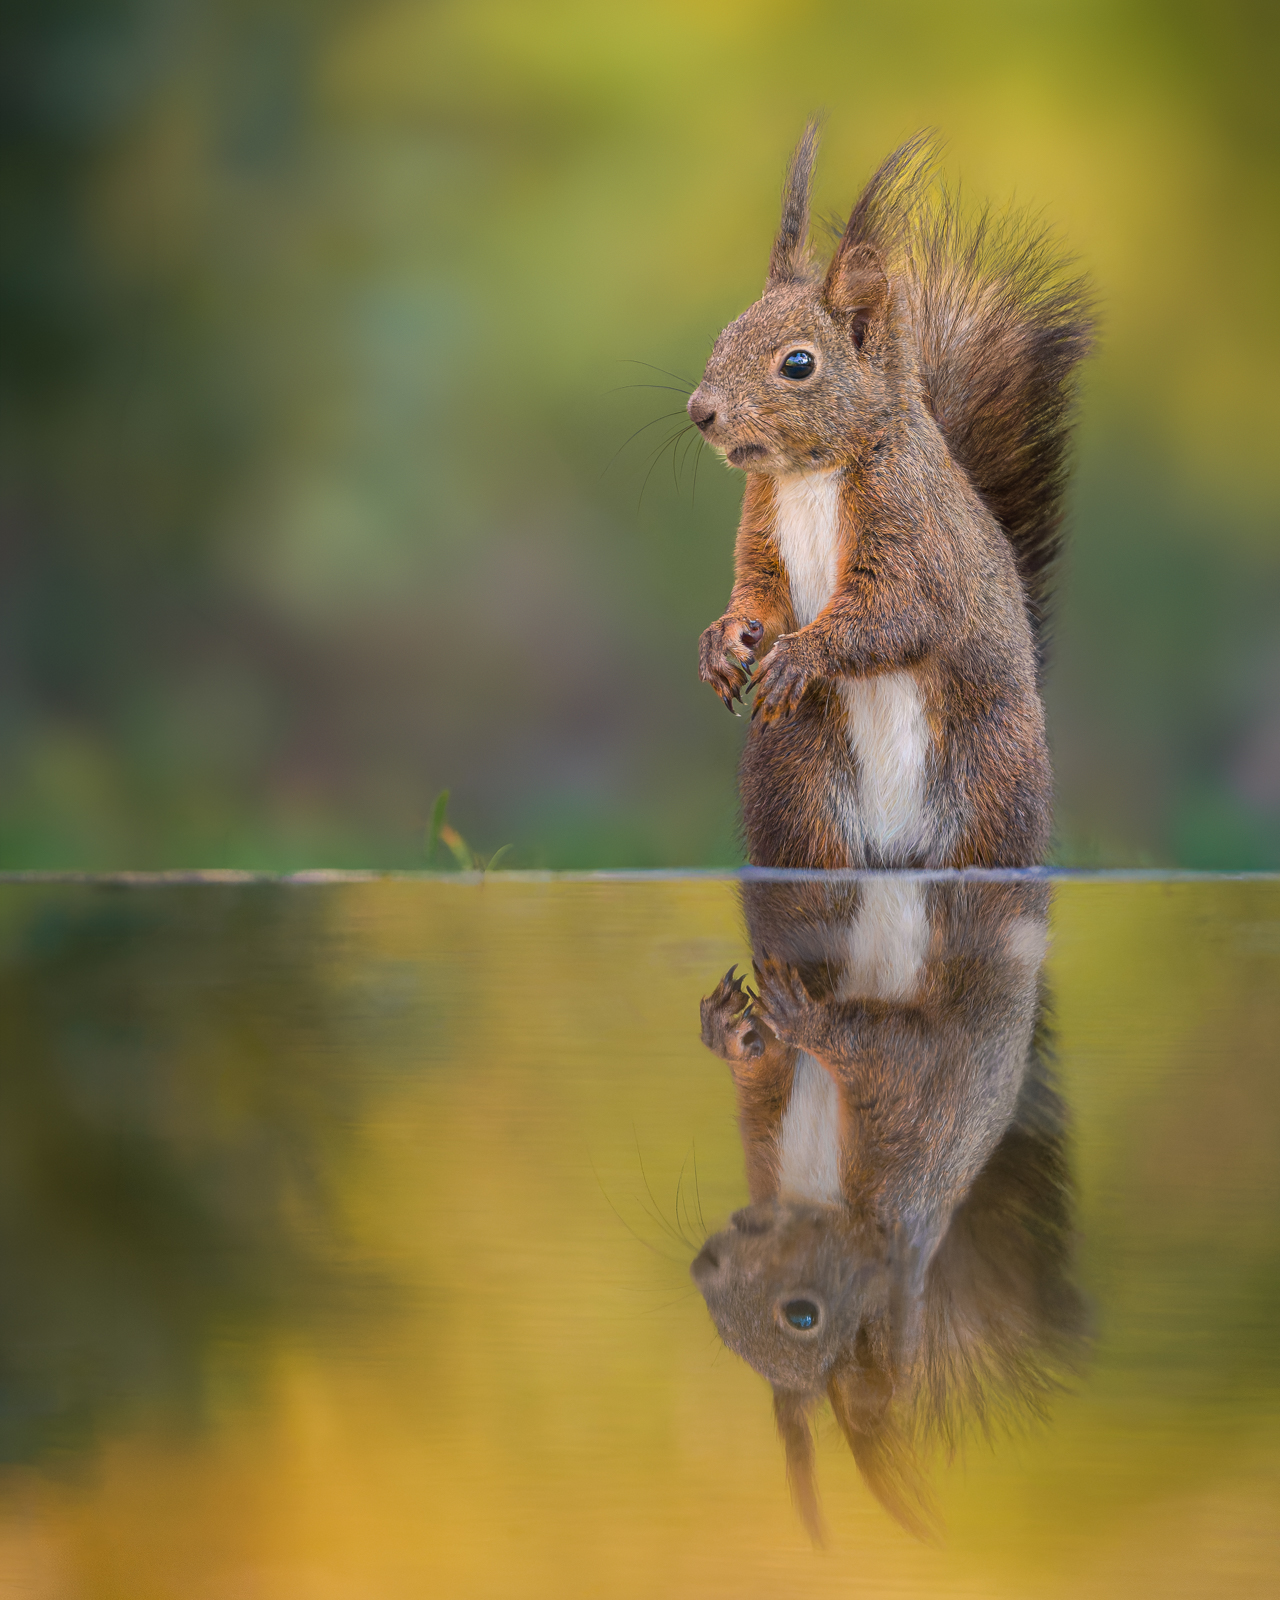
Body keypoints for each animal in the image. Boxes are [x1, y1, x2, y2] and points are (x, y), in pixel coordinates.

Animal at [690, 125, 1093, 868]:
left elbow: (897, 612)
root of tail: (896, 850)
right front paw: (724, 639)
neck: (810, 474)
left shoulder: (911, 527)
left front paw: (800, 656)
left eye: (798, 363)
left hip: (992, 783)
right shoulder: (763, 527)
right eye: (724, 335)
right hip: (797, 783)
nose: (700, 412)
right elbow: (760, 592)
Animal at [693, 876, 1085, 1541]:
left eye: (802, 1316)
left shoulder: (910, 1110)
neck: (820, 1183)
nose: (703, 1266)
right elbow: (765, 1067)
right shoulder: (772, 1124)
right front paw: (728, 1031)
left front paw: (804, 1016)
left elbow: (884, 1045)